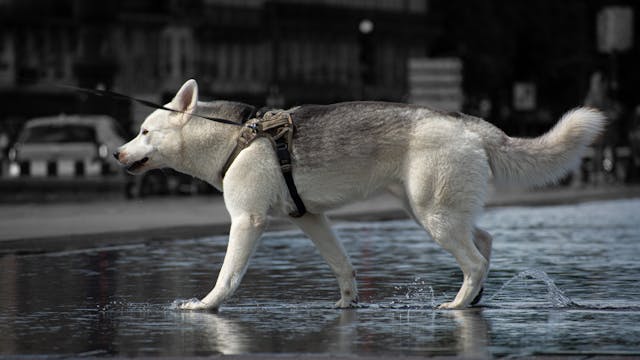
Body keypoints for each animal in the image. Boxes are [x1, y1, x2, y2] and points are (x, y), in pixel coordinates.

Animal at [115, 80, 604, 310]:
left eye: (144, 132)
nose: (117, 153)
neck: (235, 138)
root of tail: (467, 121)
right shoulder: (310, 218)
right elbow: (342, 264)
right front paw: (349, 302)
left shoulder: (247, 222)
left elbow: (227, 276)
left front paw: (206, 306)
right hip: (430, 210)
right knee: (485, 240)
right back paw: (476, 297)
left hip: (434, 216)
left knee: (475, 260)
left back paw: (459, 304)